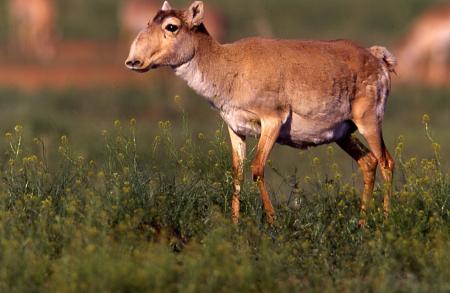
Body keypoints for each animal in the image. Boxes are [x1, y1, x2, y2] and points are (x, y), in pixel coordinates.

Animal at [125, 1, 396, 224]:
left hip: (369, 122)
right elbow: (237, 174)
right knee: (369, 163)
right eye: (150, 20)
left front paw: (274, 224)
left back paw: (385, 221)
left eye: (171, 26)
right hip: (343, 134)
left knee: (386, 162)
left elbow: (257, 169)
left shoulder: (272, 122)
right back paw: (361, 223)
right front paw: (235, 225)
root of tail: (376, 57)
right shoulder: (235, 127)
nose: (133, 61)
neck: (228, 65)